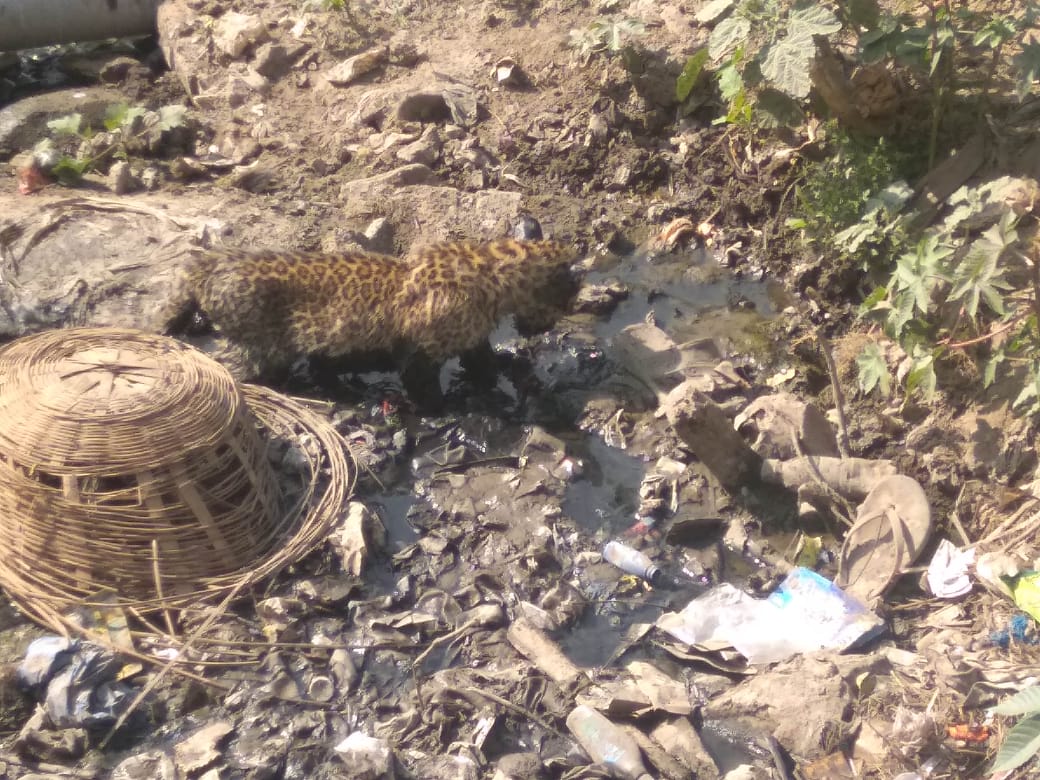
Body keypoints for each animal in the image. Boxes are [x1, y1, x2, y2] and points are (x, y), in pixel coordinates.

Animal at [164, 237, 580, 402]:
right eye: (568, 299)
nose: (545, 328)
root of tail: (207, 262)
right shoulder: (419, 353)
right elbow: (423, 386)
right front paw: (447, 407)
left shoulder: (473, 339)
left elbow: (484, 363)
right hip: (261, 349)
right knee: (228, 367)